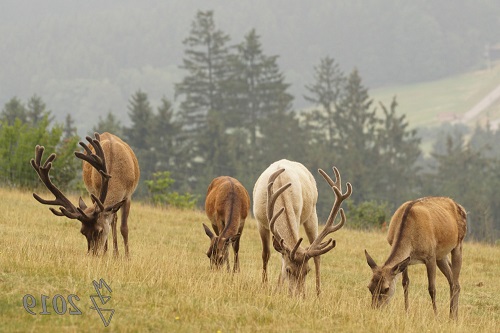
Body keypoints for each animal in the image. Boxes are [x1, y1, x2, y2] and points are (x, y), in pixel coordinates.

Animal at [254, 159, 352, 296]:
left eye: (307, 270)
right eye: (288, 270)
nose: (299, 295)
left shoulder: (297, 215)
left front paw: (278, 288)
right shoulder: (260, 222)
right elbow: (266, 254)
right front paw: (265, 286)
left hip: (312, 213)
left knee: (317, 256)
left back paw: (318, 293)